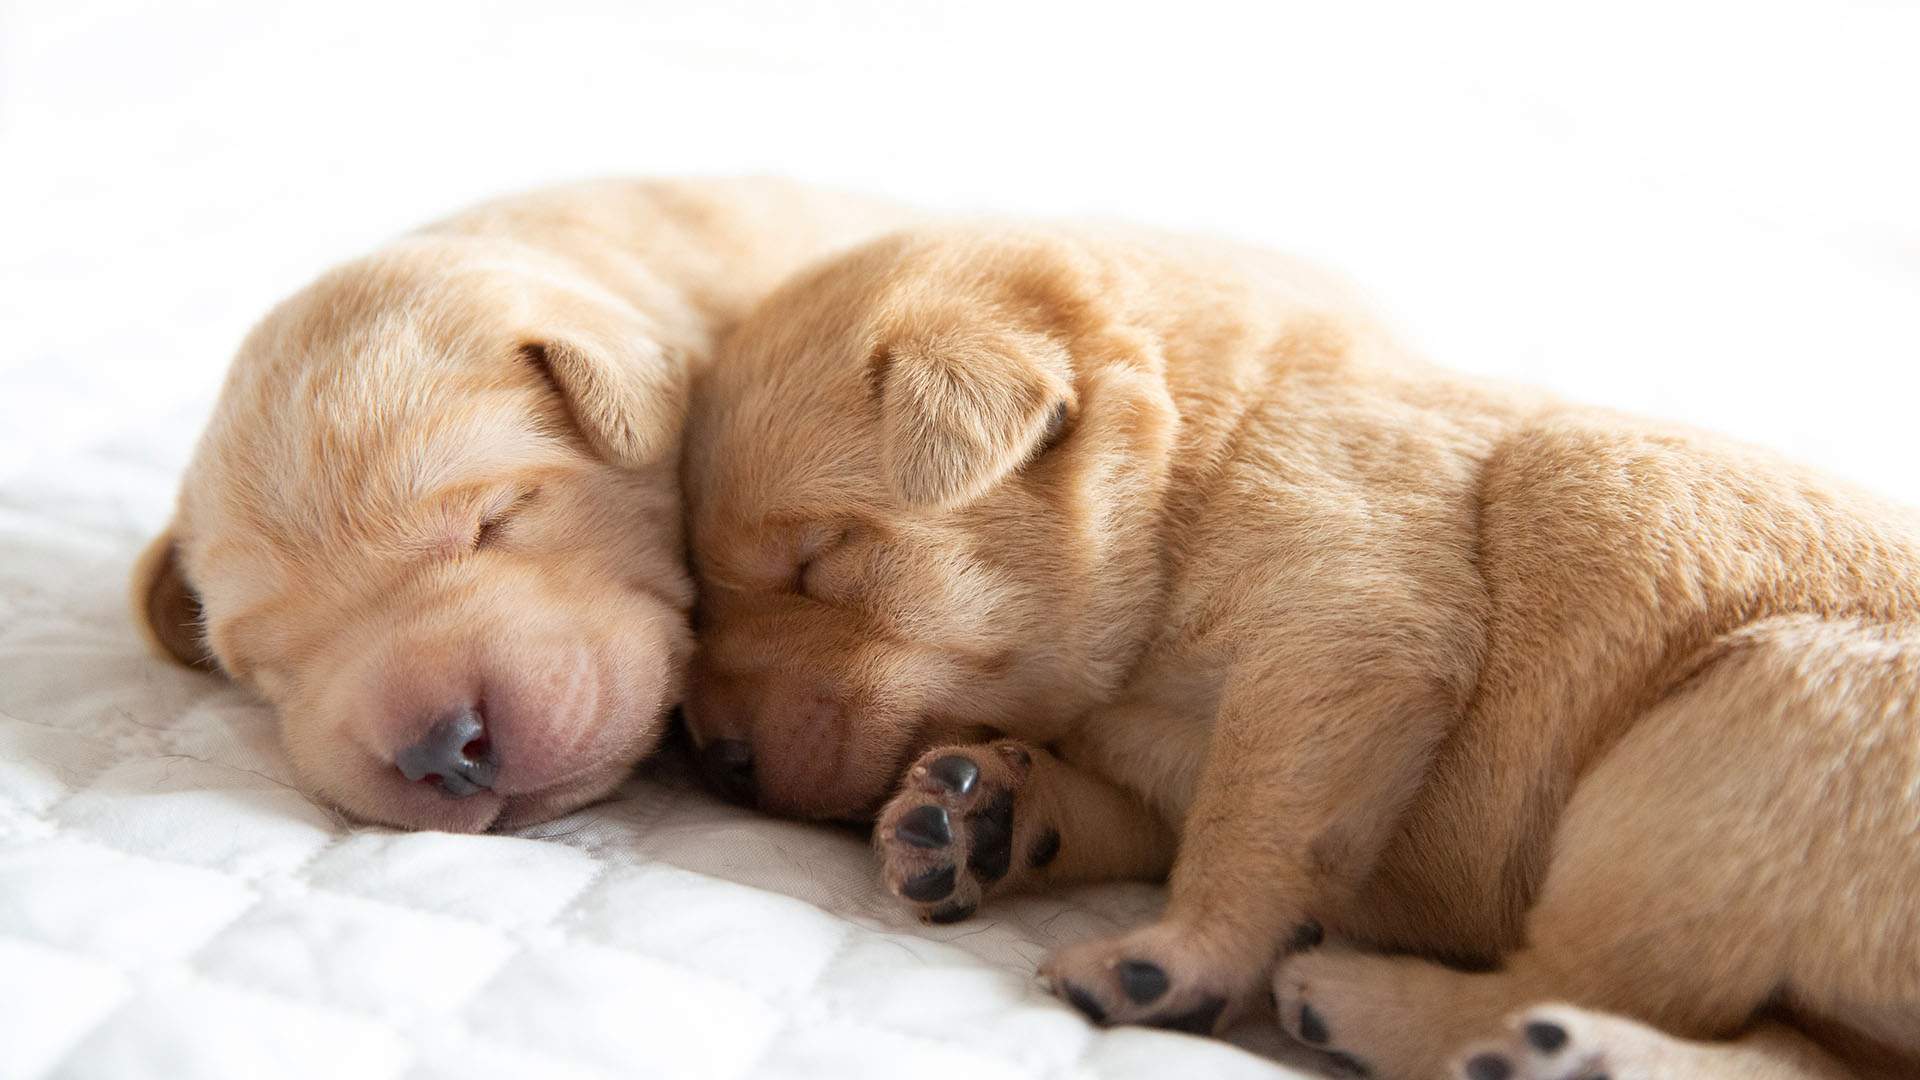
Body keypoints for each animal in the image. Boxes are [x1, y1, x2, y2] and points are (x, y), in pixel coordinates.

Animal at [683, 222, 1920, 1068]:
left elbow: (1253, 826)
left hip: (1752, 723)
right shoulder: (1153, 753)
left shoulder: (1346, 623)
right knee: (1761, 1046)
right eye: (704, 588)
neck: (1197, 449)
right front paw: (988, 812)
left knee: (1587, 976)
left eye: (816, 561)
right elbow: (1141, 816)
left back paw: (1386, 1008)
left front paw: (1182, 955)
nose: (711, 754)